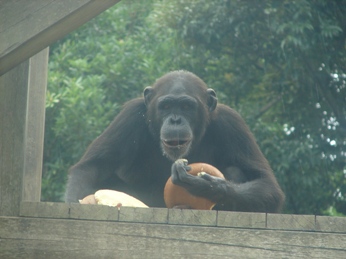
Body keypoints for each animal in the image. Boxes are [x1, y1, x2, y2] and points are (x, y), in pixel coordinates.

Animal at [66, 70, 286, 212]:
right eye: (166, 106)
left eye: (187, 106)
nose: (175, 119)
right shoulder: (128, 118)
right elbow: (92, 167)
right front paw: (81, 202)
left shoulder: (233, 124)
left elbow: (267, 184)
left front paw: (206, 186)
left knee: (236, 171)